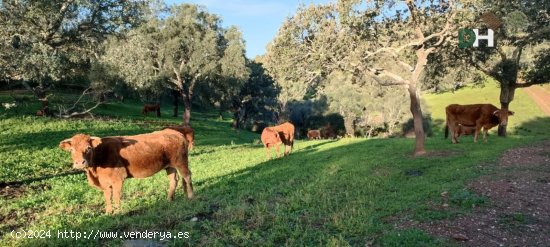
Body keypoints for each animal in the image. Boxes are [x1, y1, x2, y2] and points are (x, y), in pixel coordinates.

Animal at [59, 129, 194, 214]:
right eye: (71, 150)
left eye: (88, 148)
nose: (80, 163)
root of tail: (175, 132)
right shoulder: (104, 182)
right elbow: (107, 196)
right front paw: (108, 212)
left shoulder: (117, 178)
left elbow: (116, 196)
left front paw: (118, 213)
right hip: (170, 166)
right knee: (174, 180)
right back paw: (169, 199)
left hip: (181, 161)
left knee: (187, 176)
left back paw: (191, 196)